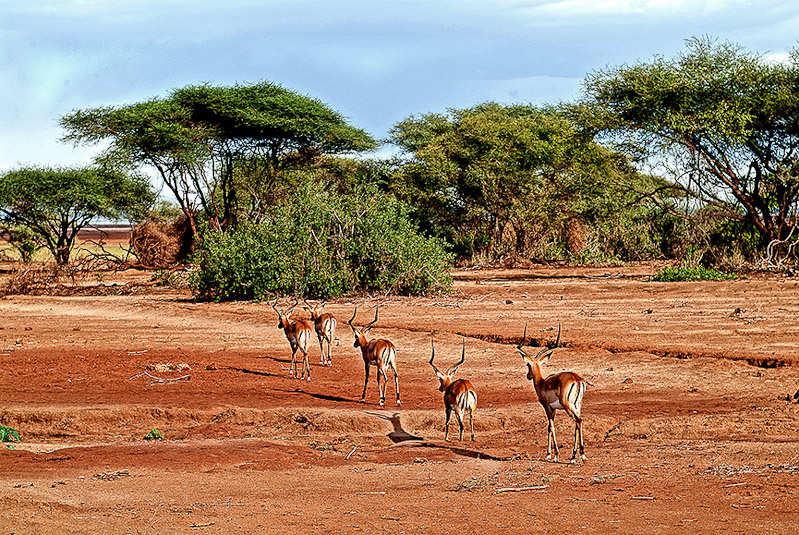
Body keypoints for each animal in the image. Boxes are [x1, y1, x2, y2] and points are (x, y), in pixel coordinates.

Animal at [520, 322, 588, 464]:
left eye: (528, 365)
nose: (528, 376)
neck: (542, 383)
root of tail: (577, 379)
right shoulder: (554, 409)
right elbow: (549, 427)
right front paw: (550, 454)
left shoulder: (547, 407)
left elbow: (551, 426)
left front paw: (553, 455)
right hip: (577, 406)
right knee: (578, 423)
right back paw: (581, 455)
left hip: (568, 406)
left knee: (578, 421)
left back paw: (574, 457)